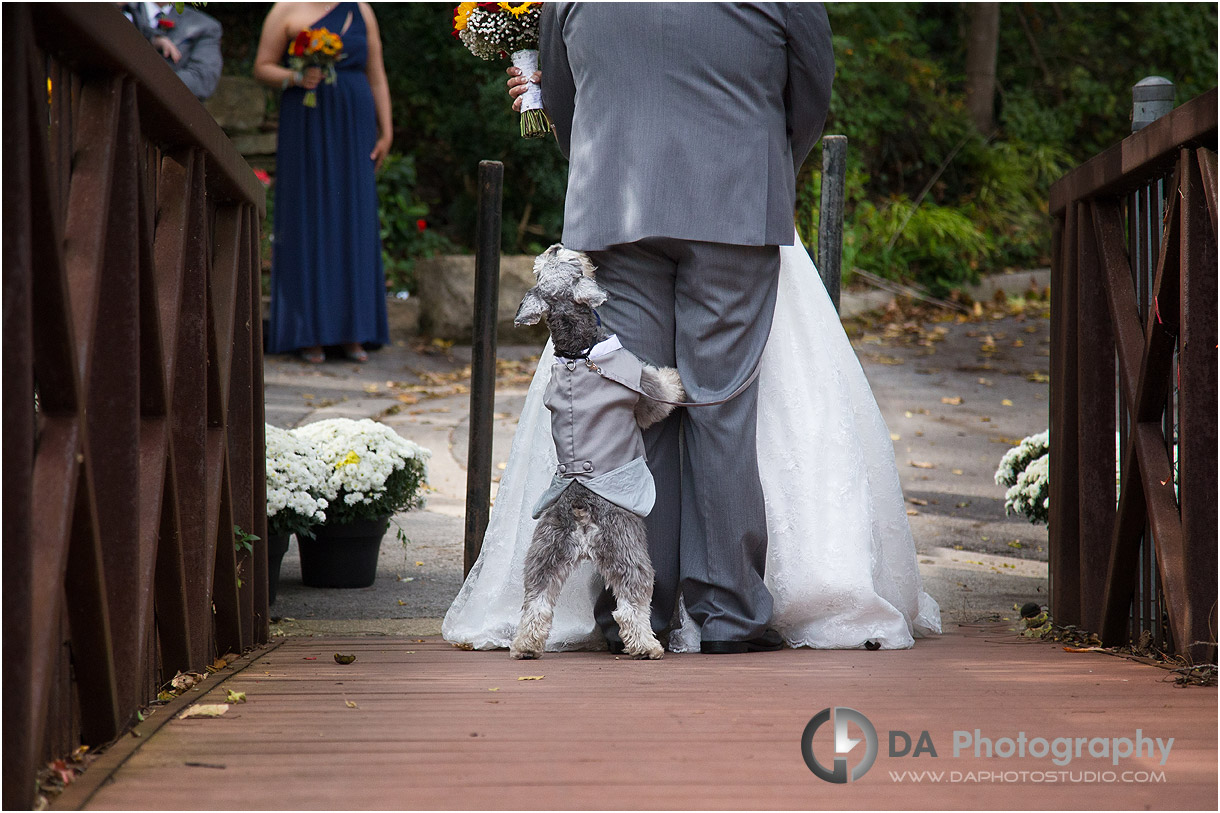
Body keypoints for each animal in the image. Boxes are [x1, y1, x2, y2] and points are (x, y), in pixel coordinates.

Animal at [507, 241, 688, 659]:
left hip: (544, 552)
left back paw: (525, 646)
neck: (579, 351)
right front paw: (676, 379)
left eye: (546, 265)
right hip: (628, 548)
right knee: (631, 604)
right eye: (569, 261)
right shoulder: (643, 387)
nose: (556, 244)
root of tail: (579, 507)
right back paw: (647, 646)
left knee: (536, 603)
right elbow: (662, 394)